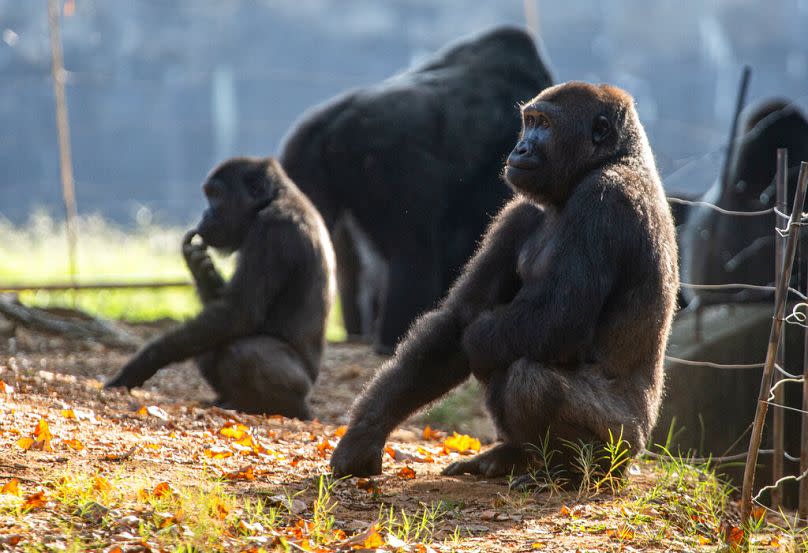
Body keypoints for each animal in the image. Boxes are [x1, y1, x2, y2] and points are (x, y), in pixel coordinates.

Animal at [106, 156, 334, 418]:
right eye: (209, 195)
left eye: (216, 195)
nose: (206, 214)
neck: (274, 198)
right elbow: (221, 313)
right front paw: (200, 269)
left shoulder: (273, 229)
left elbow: (237, 313)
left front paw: (142, 363)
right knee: (209, 343)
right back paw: (227, 399)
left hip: (303, 389)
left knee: (245, 351)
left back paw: (279, 407)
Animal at [332, 83, 680, 484]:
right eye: (529, 122)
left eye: (544, 125)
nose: (521, 149)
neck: (613, 159)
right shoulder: (518, 212)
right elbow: (456, 320)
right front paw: (364, 435)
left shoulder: (604, 200)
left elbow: (554, 322)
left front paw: (478, 339)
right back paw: (512, 456)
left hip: (625, 443)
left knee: (528, 379)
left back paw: (573, 469)